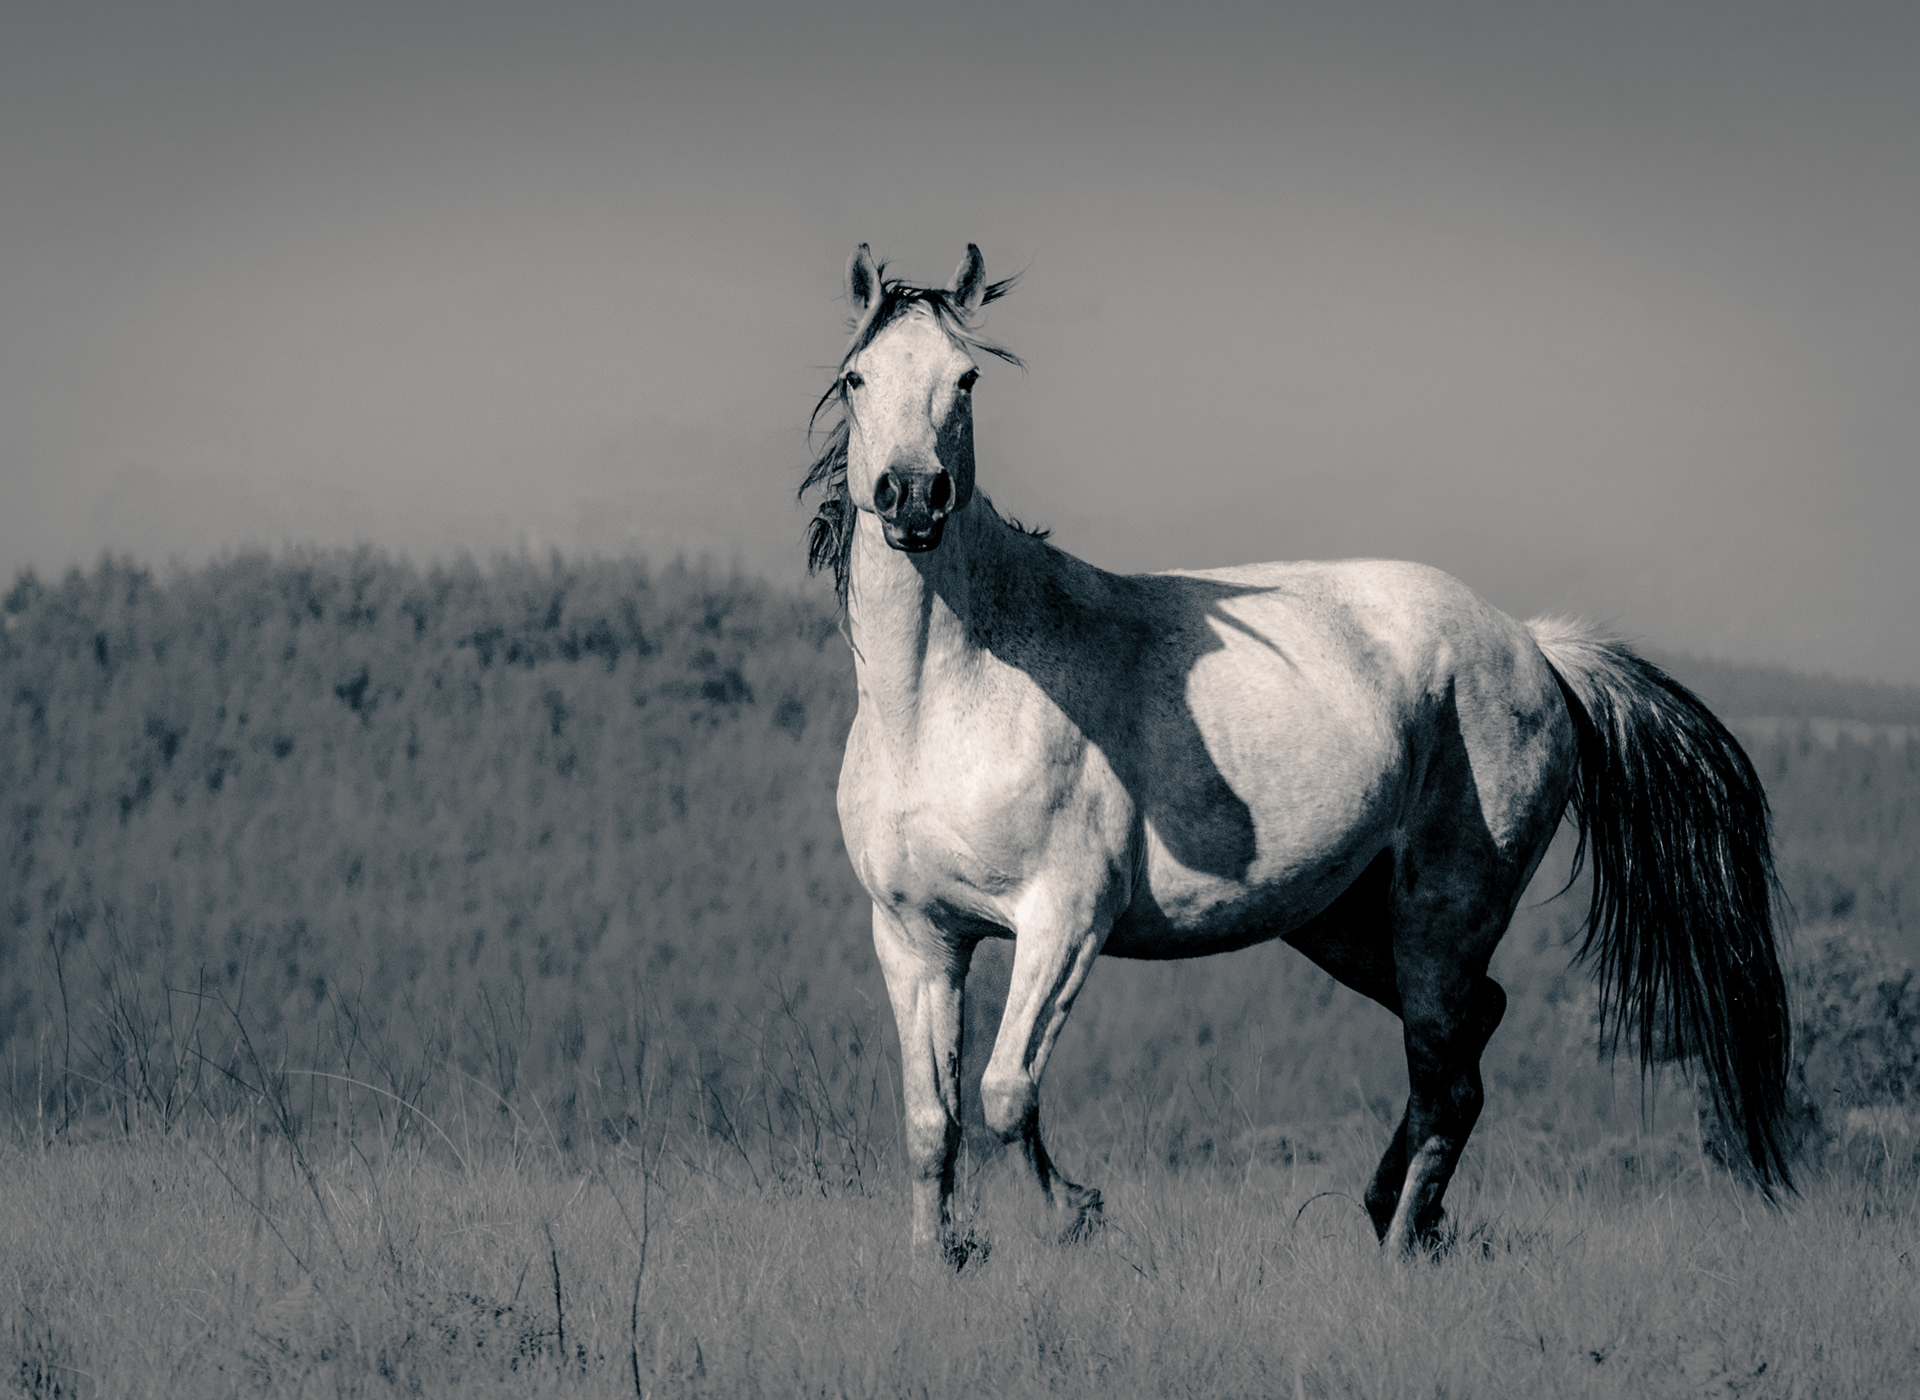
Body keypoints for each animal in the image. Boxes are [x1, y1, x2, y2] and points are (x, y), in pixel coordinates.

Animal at [801, 243, 1792, 1260]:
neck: (948, 700)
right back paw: (1395, 1212)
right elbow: (933, 1120)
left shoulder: (1064, 920)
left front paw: (1074, 1209)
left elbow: (1005, 1093)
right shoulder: (918, 937)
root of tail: (1536, 647)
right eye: (856, 377)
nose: (912, 498)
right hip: (1342, 922)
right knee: (1475, 1026)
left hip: (1445, 913)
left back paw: (1397, 1247)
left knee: (1448, 1077)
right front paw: (940, 1259)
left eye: (966, 378)